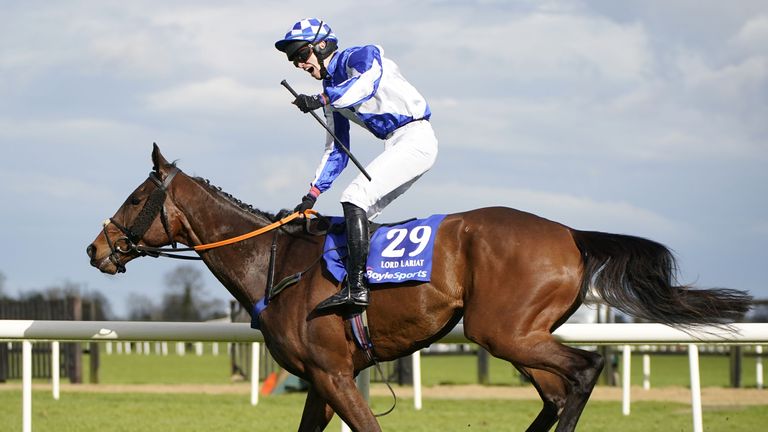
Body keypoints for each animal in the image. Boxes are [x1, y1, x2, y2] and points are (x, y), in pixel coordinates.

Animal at [85, 146, 752, 432]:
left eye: (137, 198)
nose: (96, 249)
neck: (275, 262)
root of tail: (569, 232)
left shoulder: (332, 373)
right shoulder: (321, 379)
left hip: (502, 331)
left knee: (586, 371)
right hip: (518, 336)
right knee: (558, 393)